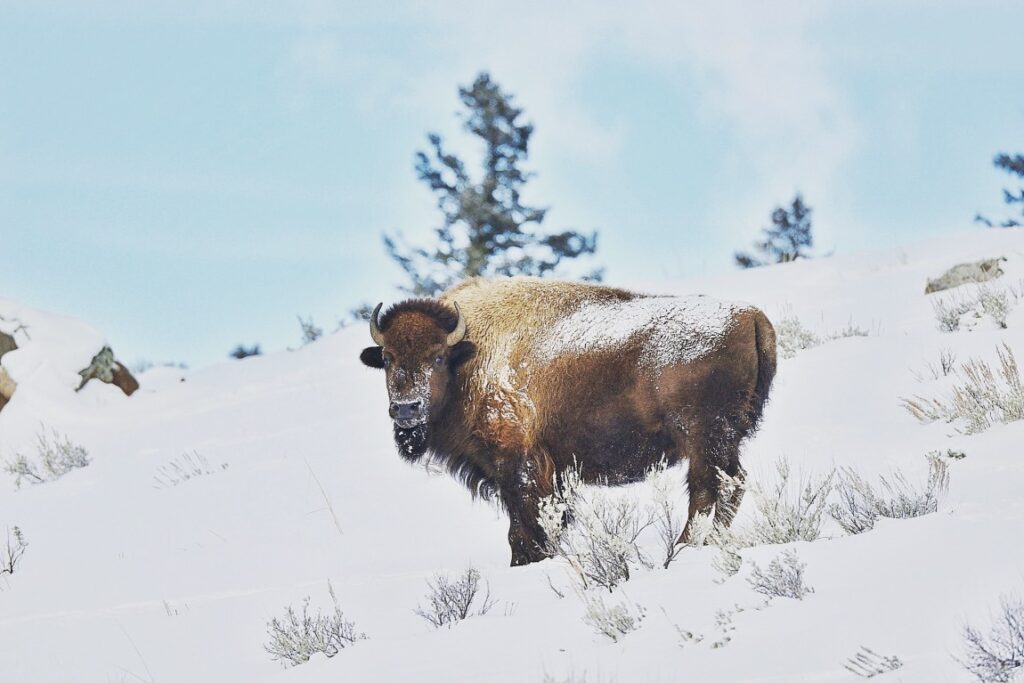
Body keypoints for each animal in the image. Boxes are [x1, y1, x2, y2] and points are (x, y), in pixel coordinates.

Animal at [360, 276, 774, 565]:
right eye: (388, 358)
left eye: (437, 357)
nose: (407, 408)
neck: (470, 355)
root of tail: (751, 316)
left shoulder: (520, 466)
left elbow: (526, 527)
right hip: (721, 442)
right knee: (728, 486)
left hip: (703, 438)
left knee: (709, 490)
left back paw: (683, 549)